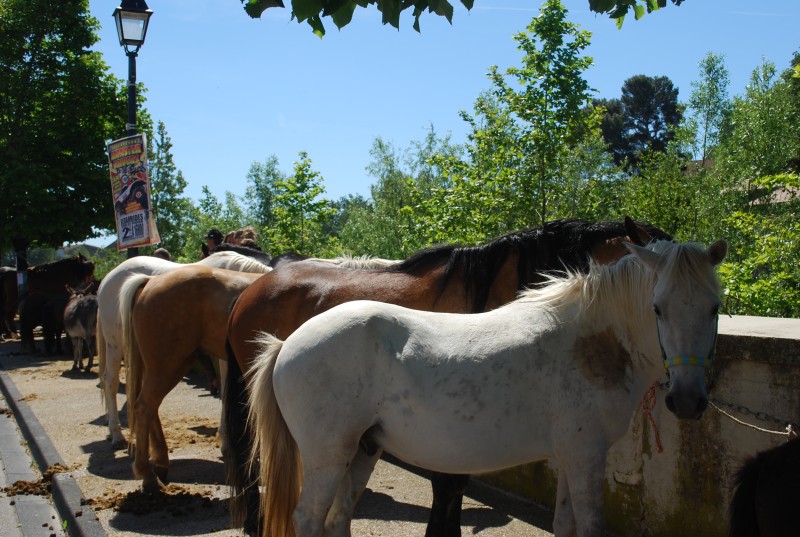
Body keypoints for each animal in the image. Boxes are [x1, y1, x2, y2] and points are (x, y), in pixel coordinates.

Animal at [250, 238, 732, 536]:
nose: (687, 400)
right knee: (309, 519)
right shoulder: (586, 457)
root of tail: (288, 342)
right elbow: (590, 527)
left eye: (714, 307)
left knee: (337, 520)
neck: (590, 341)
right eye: (658, 308)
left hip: (364, 451)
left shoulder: (571, 457)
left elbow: (565, 526)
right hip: (328, 456)